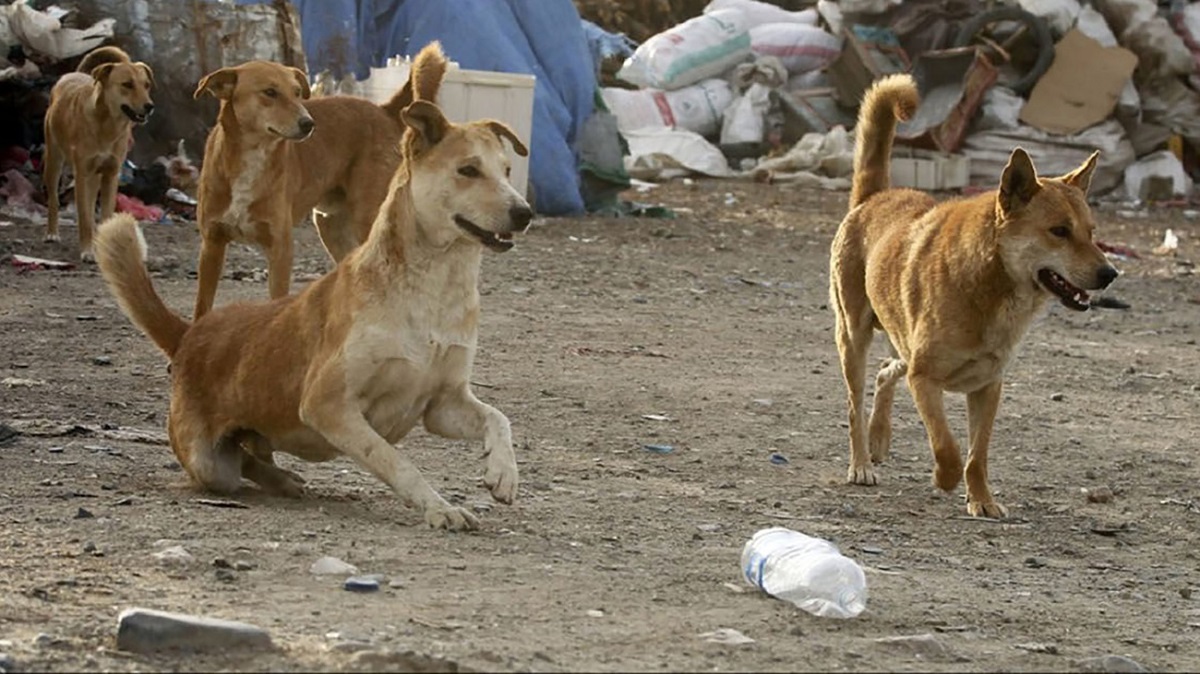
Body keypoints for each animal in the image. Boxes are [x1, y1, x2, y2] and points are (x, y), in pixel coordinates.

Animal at [42, 45, 153, 261]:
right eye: (127, 84)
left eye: (146, 85)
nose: (149, 106)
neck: (108, 125)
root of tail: (73, 74)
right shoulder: (82, 175)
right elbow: (84, 217)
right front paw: (87, 251)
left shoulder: (111, 174)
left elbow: (106, 215)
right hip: (54, 159)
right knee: (53, 199)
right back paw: (52, 233)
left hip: (94, 176)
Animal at [192, 42, 451, 319]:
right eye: (270, 92)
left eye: (297, 92)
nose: (308, 123)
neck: (252, 156)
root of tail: (383, 110)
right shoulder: (212, 245)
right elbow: (202, 307)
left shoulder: (280, 248)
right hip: (331, 227)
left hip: (367, 219)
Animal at [830, 72, 1118, 513]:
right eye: (1059, 231)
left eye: (1092, 232)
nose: (1110, 274)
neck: (992, 286)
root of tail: (874, 197)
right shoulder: (925, 379)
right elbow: (947, 448)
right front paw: (943, 479)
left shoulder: (987, 388)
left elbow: (976, 455)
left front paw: (982, 500)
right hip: (853, 337)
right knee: (854, 405)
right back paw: (862, 462)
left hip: (900, 343)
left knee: (885, 370)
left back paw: (879, 439)